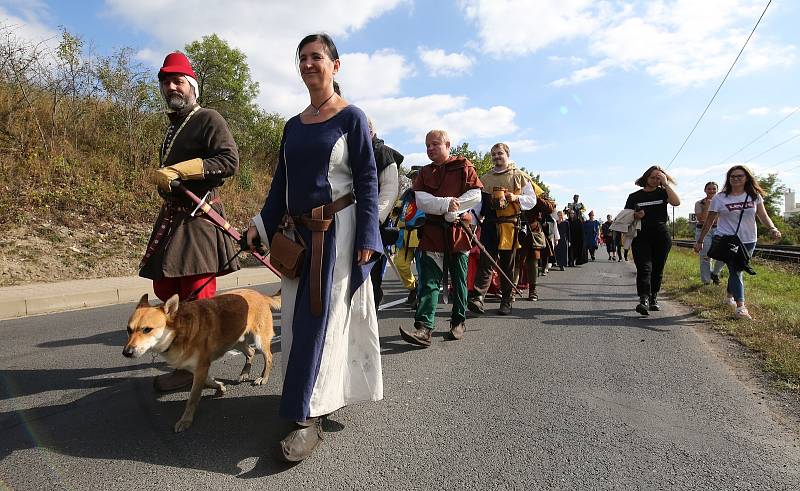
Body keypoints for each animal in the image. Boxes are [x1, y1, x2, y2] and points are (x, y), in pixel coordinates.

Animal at [121, 290, 278, 432]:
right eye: (128, 330)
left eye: (147, 330)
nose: (126, 353)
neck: (178, 332)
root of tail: (260, 294)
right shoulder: (196, 367)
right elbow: (208, 381)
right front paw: (219, 387)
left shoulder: (201, 366)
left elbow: (192, 398)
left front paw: (186, 420)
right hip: (234, 339)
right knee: (251, 352)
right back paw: (245, 372)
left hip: (259, 340)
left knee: (268, 357)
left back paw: (263, 377)